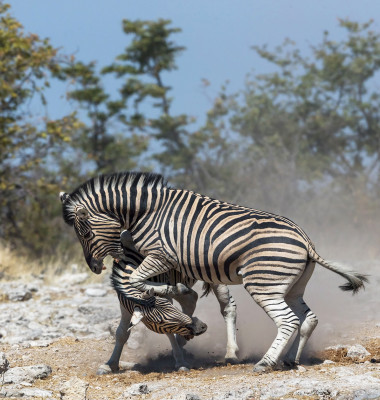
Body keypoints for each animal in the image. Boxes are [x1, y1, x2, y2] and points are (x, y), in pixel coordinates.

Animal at [99, 230, 239, 374]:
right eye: (159, 322)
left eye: (170, 307)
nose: (201, 328)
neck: (131, 266)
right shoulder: (125, 305)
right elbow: (121, 333)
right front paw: (110, 364)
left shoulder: (164, 294)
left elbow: (169, 333)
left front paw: (180, 362)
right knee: (191, 298)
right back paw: (183, 339)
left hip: (215, 273)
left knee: (227, 307)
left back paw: (231, 353)